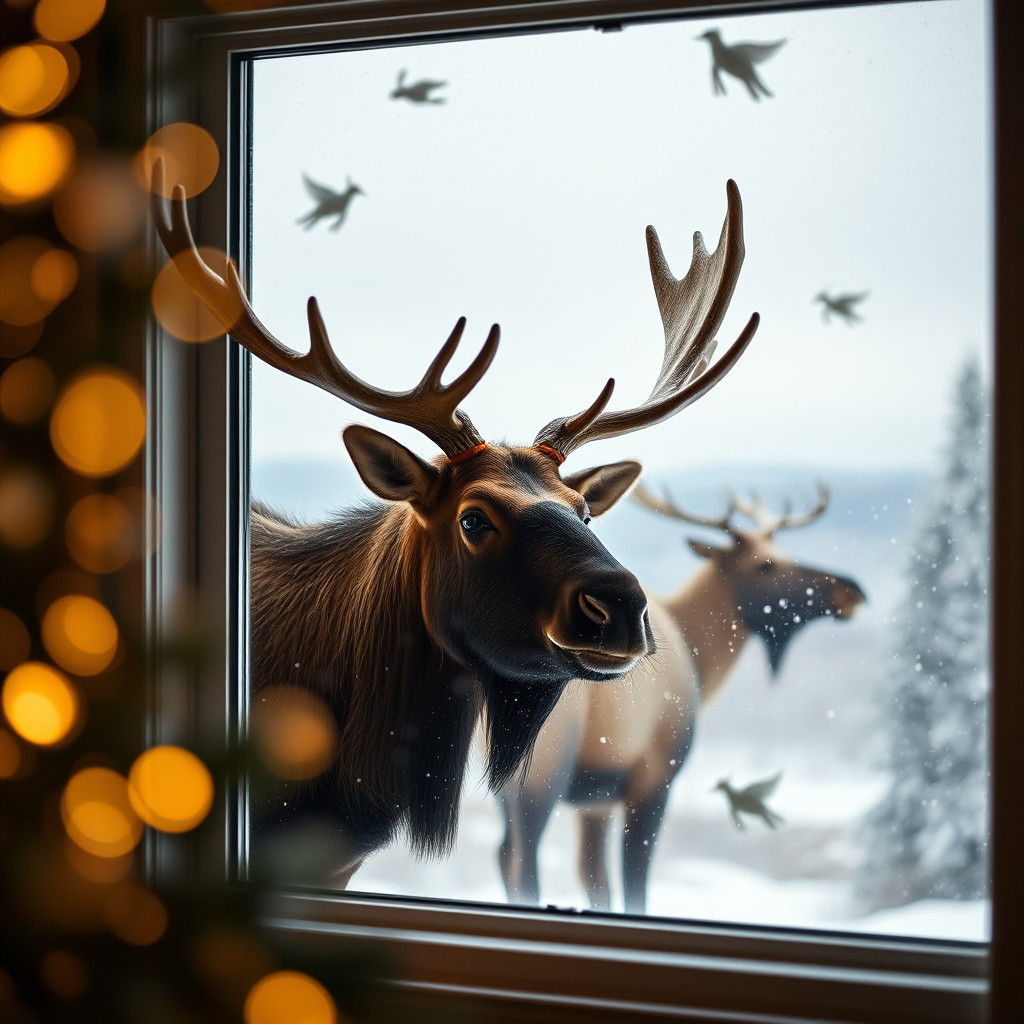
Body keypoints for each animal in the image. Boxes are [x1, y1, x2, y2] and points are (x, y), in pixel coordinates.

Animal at [498, 483, 865, 914]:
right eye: (766, 565)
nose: (852, 590)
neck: (699, 659)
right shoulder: (656, 777)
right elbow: (635, 881)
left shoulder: (596, 799)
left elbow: (596, 879)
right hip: (542, 771)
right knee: (522, 860)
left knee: (505, 855)